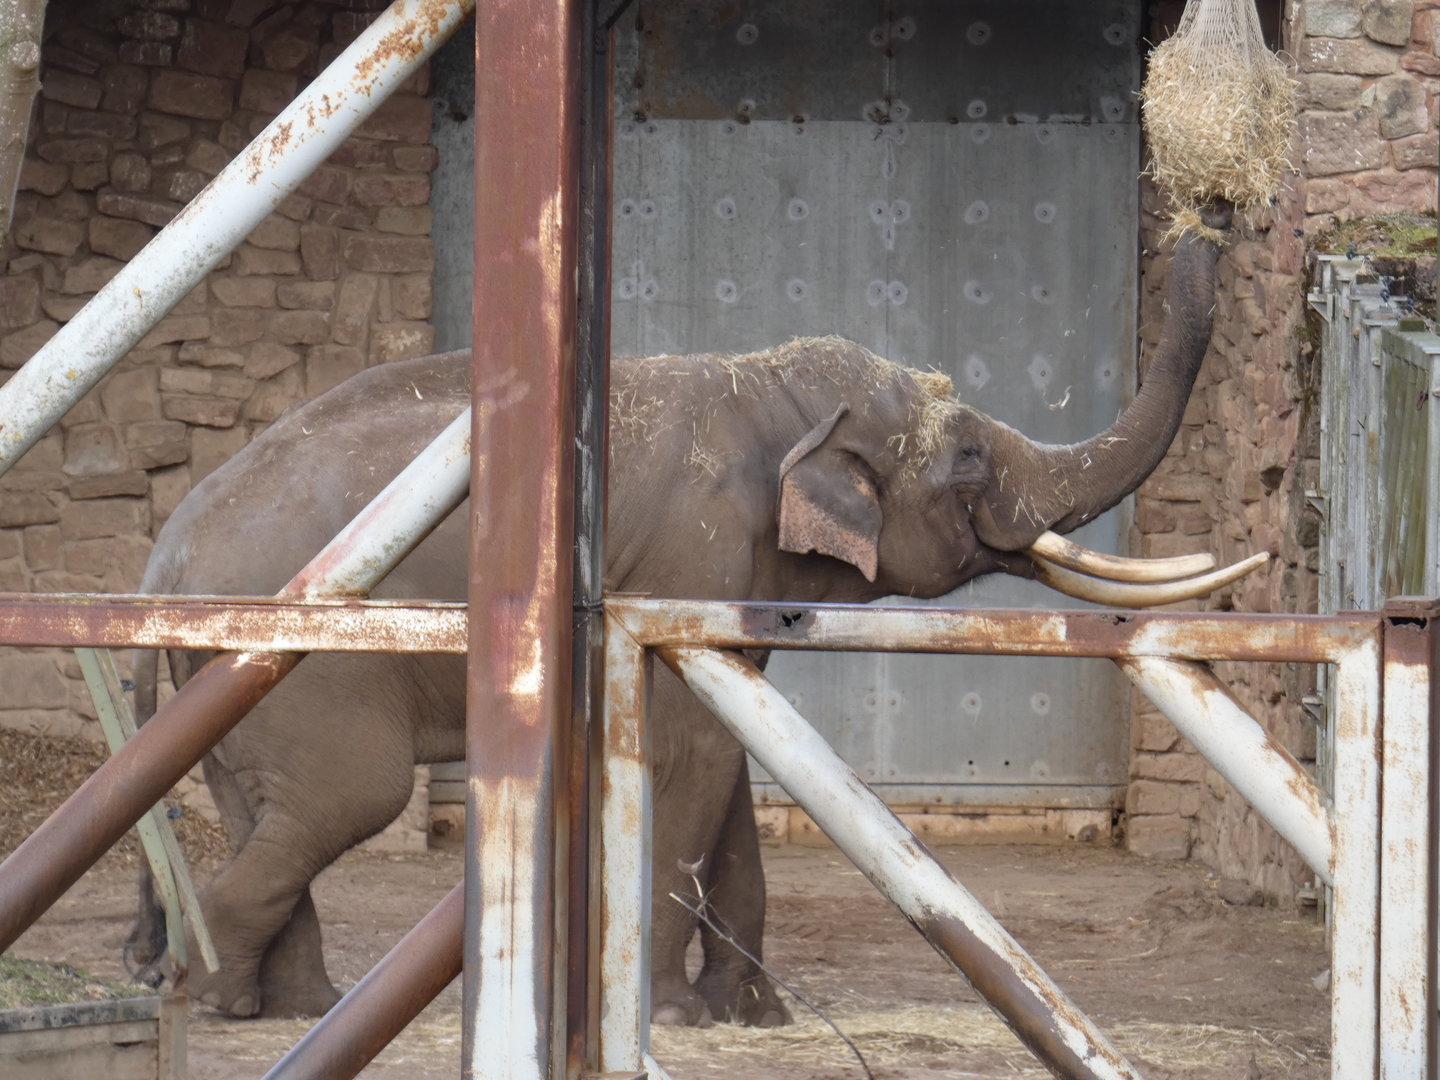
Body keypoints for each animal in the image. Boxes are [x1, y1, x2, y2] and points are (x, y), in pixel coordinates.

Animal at [128, 202, 1242, 1026]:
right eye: (966, 457)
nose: (1214, 221)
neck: (769, 390)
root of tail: (160, 552)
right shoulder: (696, 548)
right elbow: (692, 758)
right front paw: (672, 1014)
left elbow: (729, 757)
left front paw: (753, 1015)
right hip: (309, 666)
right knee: (348, 800)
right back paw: (218, 1001)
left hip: (230, 678)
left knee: (271, 813)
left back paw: (288, 1006)